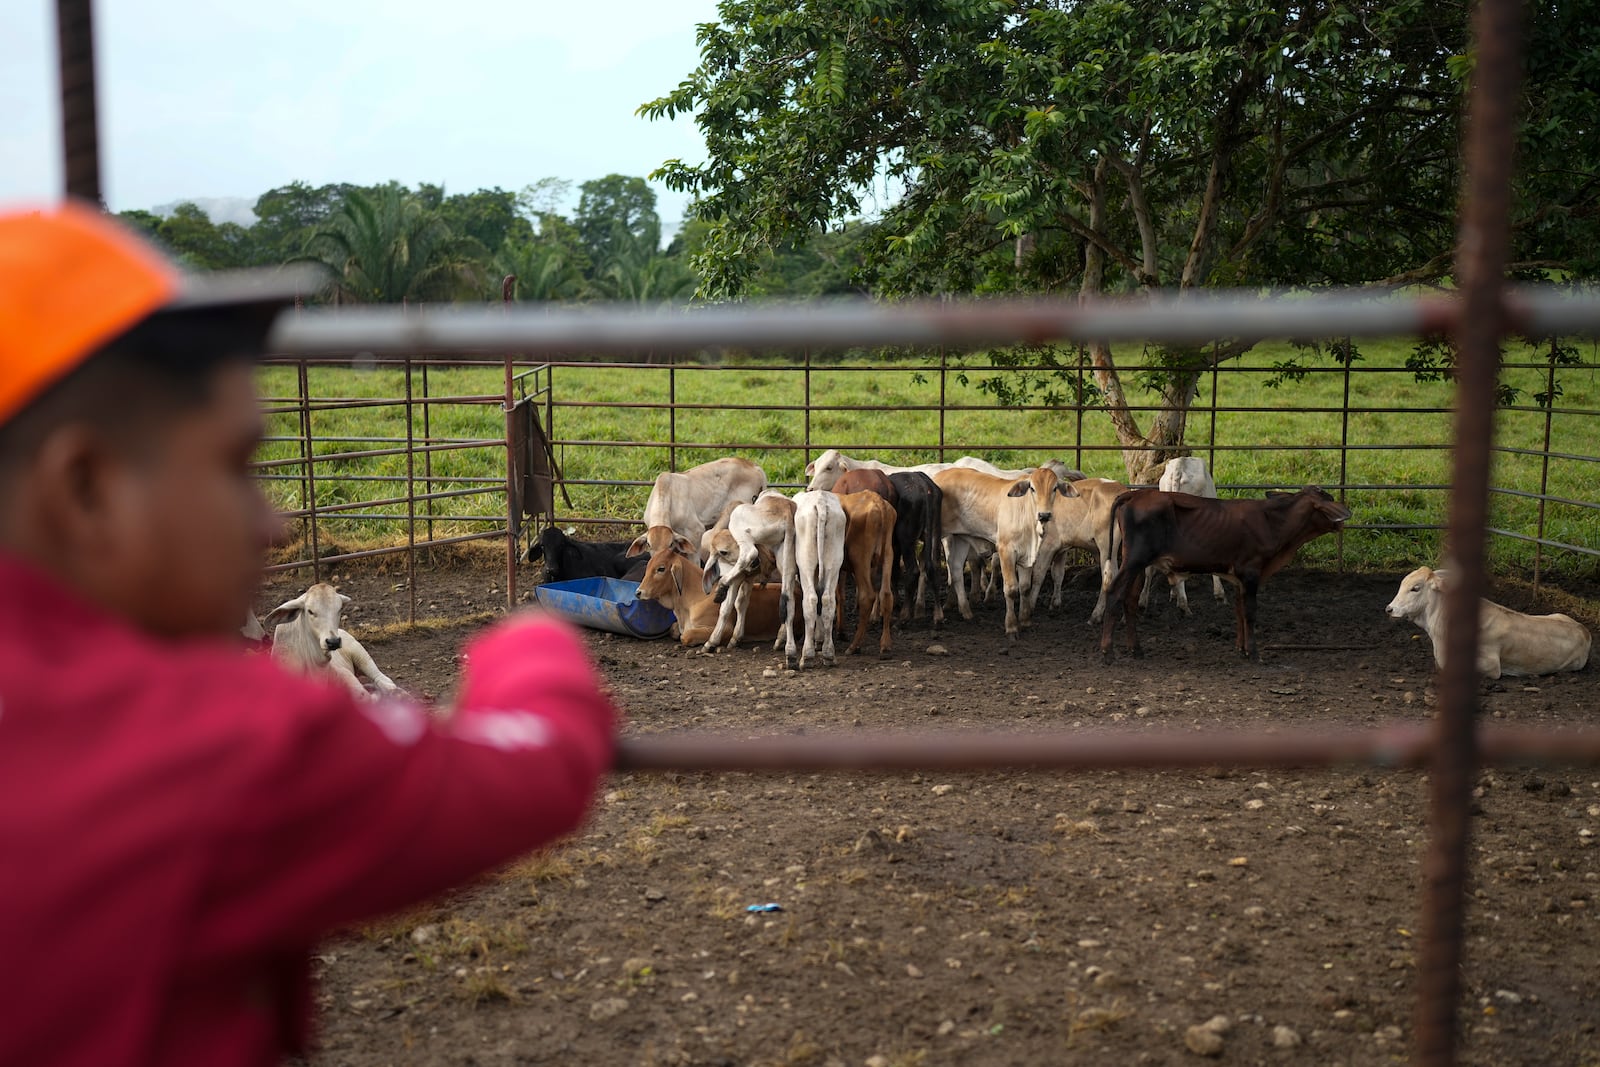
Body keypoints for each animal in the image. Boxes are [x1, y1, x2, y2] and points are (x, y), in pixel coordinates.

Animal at [790, 489, 851, 668]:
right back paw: (829, 654)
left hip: (806, 564)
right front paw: (820, 639)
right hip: (833, 563)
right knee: (827, 601)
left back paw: (807, 656)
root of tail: (821, 501)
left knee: (810, 600)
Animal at [1107, 486, 1356, 659]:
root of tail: (1135, 495)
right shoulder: (1252, 572)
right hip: (1134, 561)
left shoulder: (1239, 579)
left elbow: (1239, 610)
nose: (1342, 522)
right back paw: (1106, 651)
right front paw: (1253, 652)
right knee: (1113, 593)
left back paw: (1136, 649)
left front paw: (1241, 648)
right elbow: (1250, 611)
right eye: (1329, 501)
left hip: (1138, 565)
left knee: (1129, 600)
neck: (1273, 522)